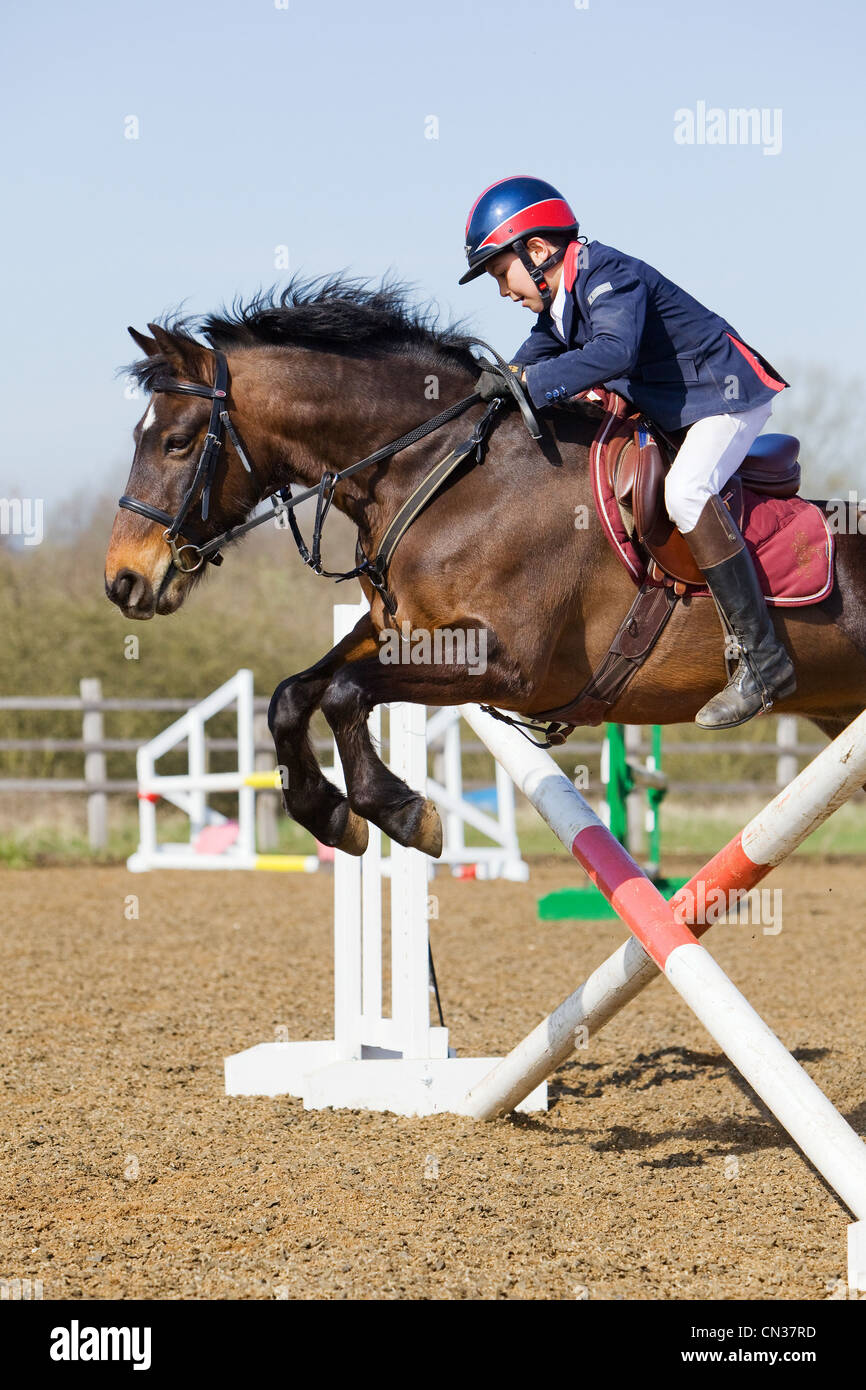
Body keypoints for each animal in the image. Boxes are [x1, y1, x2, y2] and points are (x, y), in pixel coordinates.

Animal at [105, 277, 866, 858]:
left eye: (176, 442)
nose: (123, 581)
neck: (443, 470)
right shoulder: (402, 631)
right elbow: (294, 694)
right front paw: (331, 814)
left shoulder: (508, 665)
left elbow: (346, 692)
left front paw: (401, 812)